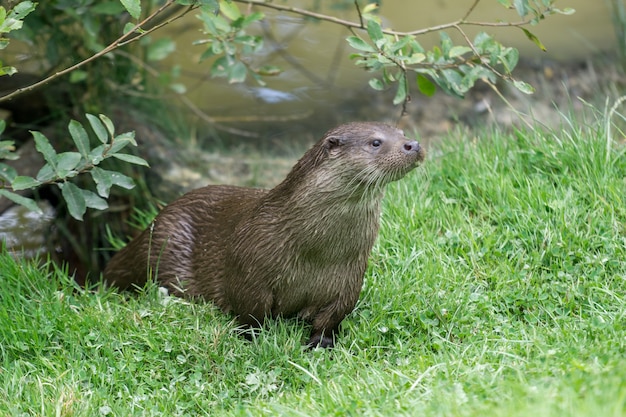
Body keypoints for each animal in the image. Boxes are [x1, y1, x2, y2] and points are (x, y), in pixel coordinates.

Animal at [103, 121, 424, 348]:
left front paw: (320, 343)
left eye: (402, 131)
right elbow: (250, 313)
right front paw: (253, 339)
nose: (414, 144)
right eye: (375, 142)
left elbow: (332, 316)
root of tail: (153, 223)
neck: (316, 251)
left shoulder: (349, 275)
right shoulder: (249, 271)